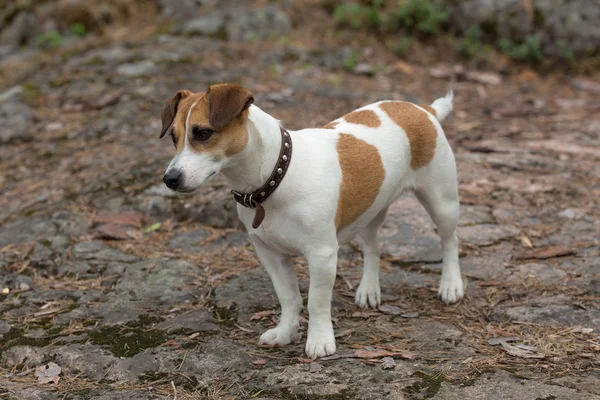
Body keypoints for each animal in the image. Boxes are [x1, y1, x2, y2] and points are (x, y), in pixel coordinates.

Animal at [161, 83, 464, 360]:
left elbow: (317, 302)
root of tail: (424, 109)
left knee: (450, 241)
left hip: (442, 201)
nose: (170, 179)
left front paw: (319, 340)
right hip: (371, 207)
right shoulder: (270, 254)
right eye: (173, 137)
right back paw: (368, 289)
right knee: (372, 247)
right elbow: (288, 297)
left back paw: (451, 285)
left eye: (203, 133)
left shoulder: (321, 255)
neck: (276, 175)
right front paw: (285, 332)